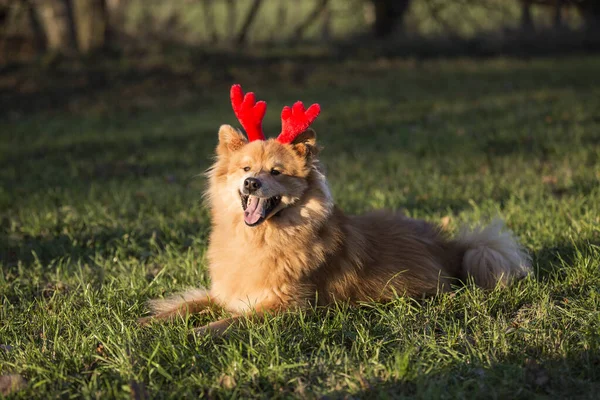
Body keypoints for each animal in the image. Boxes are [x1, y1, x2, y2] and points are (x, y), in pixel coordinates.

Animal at [139, 84, 528, 334]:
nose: (251, 183)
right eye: (246, 168)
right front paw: (149, 323)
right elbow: (187, 304)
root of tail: (451, 246)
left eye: (275, 172)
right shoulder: (227, 293)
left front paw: (194, 333)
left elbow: (226, 322)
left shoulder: (287, 306)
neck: (260, 240)